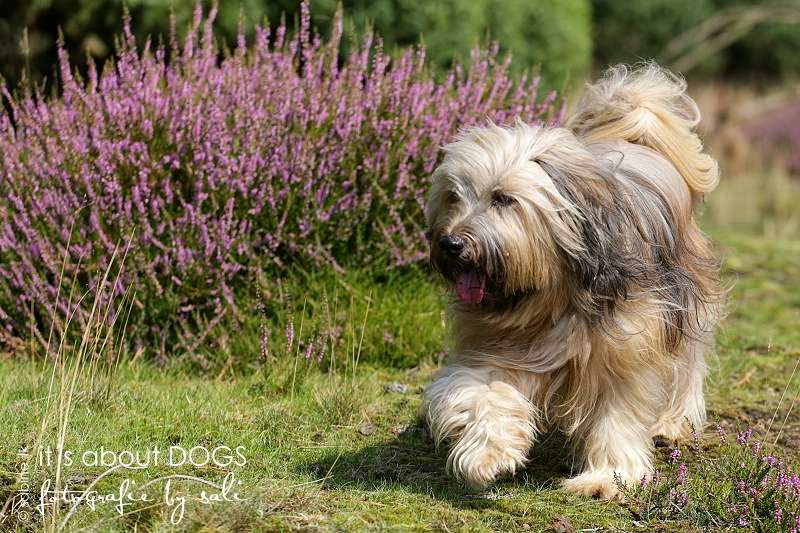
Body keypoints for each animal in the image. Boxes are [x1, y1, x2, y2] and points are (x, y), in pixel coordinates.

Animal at [422, 63, 720, 498]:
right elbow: (481, 393)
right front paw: (488, 453)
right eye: (452, 196)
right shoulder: (501, 348)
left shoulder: (627, 345)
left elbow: (618, 412)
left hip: (685, 301)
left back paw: (669, 424)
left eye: (503, 198)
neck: (552, 294)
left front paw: (608, 476)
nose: (450, 243)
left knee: (686, 368)